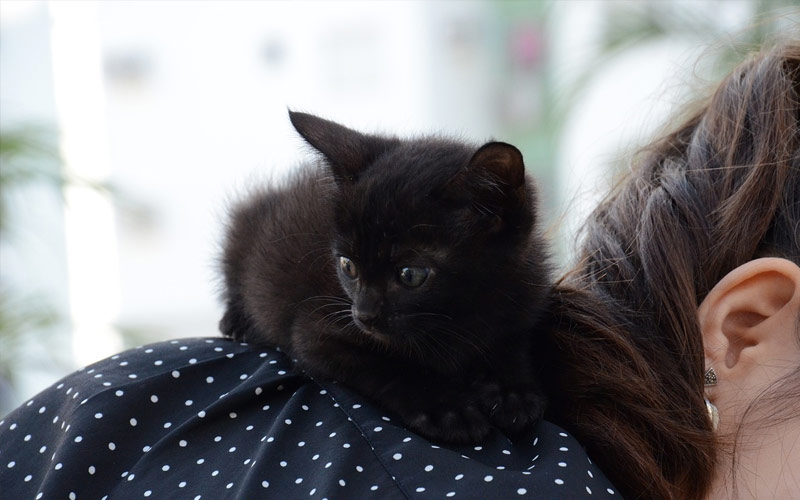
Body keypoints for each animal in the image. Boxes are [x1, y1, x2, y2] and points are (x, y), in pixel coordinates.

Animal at [222, 111, 552, 444]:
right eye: (348, 266)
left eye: (411, 275)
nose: (363, 315)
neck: (458, 316)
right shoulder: (316, 333)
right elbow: (387, 365)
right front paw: (446, 406)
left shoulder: (523, 297)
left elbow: (509, 345)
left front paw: (511, 391)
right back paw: (237, 320)